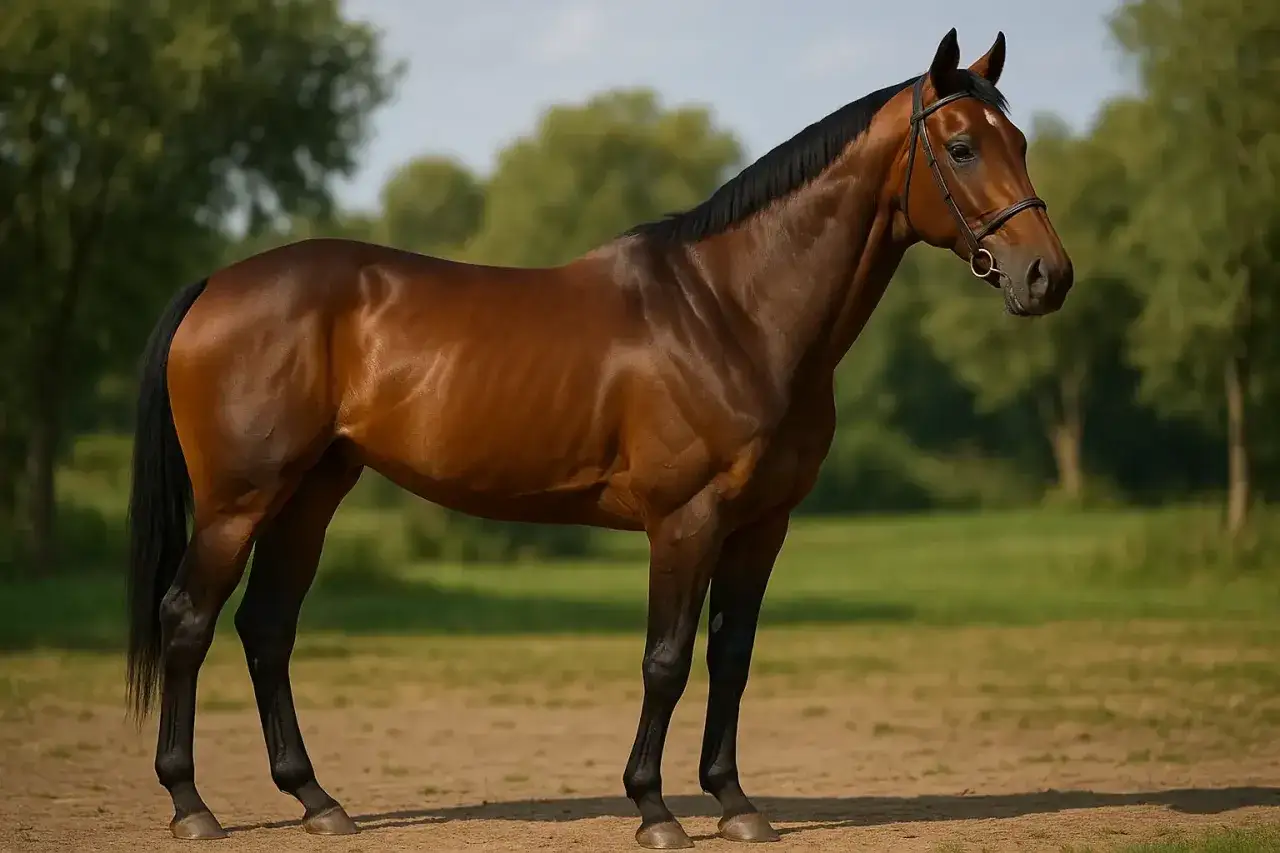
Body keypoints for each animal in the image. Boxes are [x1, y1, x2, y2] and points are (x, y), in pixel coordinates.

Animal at [123, 27, 1072, 850]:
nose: (1048, 276)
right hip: (239, 502)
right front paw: (655, 809)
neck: (731, 310)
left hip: (312, 493)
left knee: (266, 628)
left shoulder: (762, 526)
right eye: (961, 146)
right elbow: (666, 659)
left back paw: (317, 800)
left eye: (1020, 139)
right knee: (188, 620)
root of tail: (216, 285)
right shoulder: (686, 520)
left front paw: (736, 803)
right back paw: (191, 804)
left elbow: (731, 656)